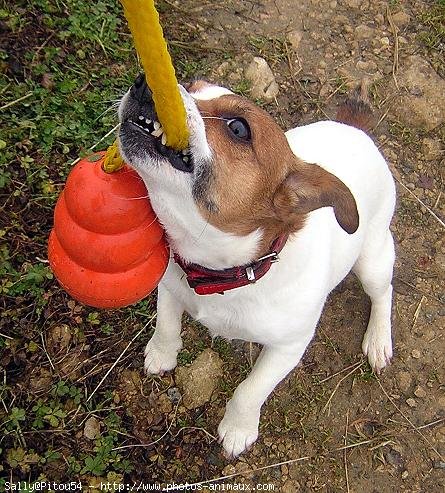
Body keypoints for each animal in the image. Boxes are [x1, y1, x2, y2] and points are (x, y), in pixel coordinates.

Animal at [118, 76, 396, 458]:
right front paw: (161, 354)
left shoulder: (288, 347)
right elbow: (166, 325)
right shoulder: (170, 285)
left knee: (383, 292)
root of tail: (355, 130)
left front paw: (238, 429)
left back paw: (379, 339)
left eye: (238, 128)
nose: (145, 83)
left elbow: (250, 390)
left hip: (371, 261)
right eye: (191, 84)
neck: (223, 272)